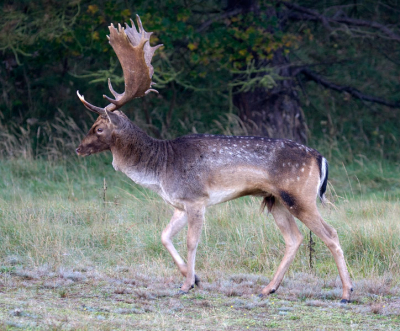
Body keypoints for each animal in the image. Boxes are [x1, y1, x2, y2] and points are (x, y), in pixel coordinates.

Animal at [76, 16, 354, 304]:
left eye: (98, 128)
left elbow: (191, 242)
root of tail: (320, 158)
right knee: (295, 238)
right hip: (275, 199)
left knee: (331, 234)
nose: (79, 148)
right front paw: (195, 278)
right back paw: (268, 288)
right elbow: (164, 236)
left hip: (300, 195)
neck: (161, 168)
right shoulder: (180, 203)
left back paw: (346, 292)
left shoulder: (196, 198)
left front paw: (187, 284)